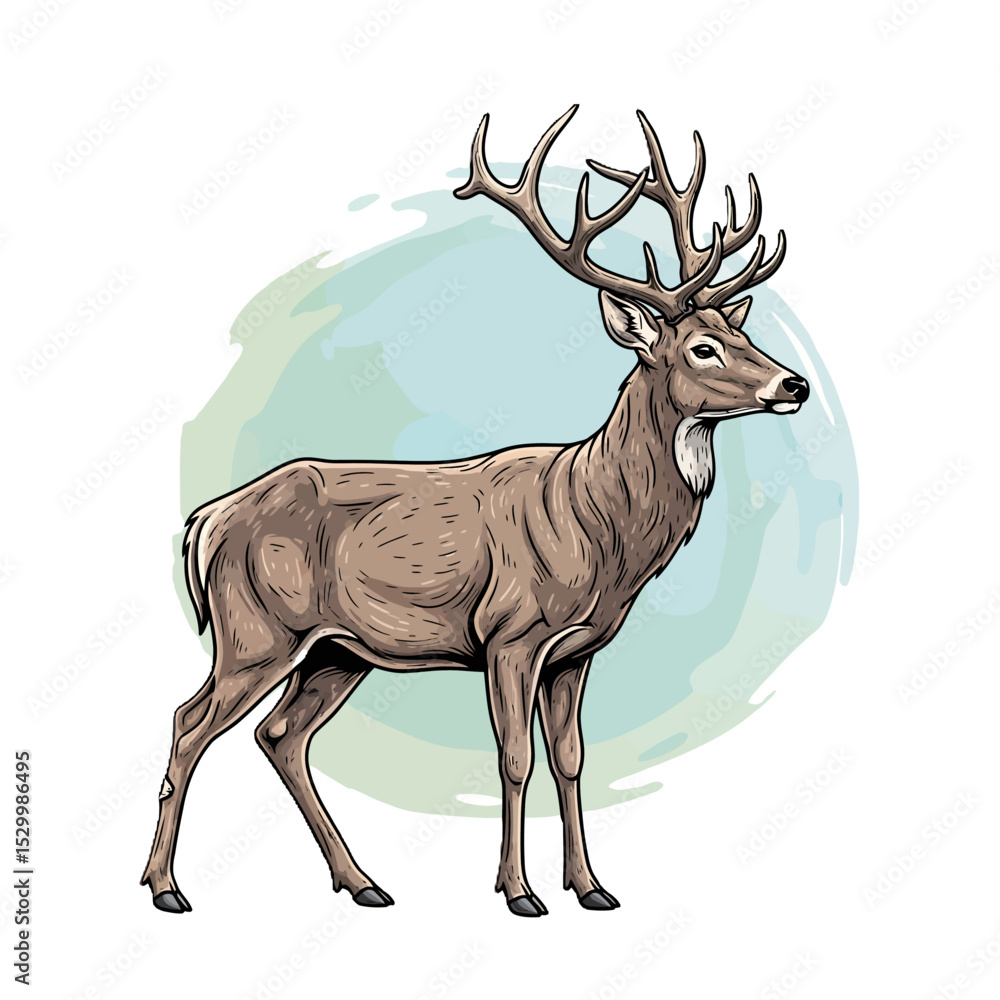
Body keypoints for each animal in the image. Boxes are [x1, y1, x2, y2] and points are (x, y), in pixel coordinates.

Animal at [141, 106, 809, 918]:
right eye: (704, 348)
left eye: (745, 333)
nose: (795, 383)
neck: (599, 527)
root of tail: (205, 520)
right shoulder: (509, 633)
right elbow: (516, 760)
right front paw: (518, 892)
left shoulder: (578, 651)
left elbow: (572, 759)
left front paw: (592, 887)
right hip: (256, 626)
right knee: (189, 723)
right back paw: (166, 888)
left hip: (336, 649)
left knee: (280, 735)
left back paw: (362, 882)